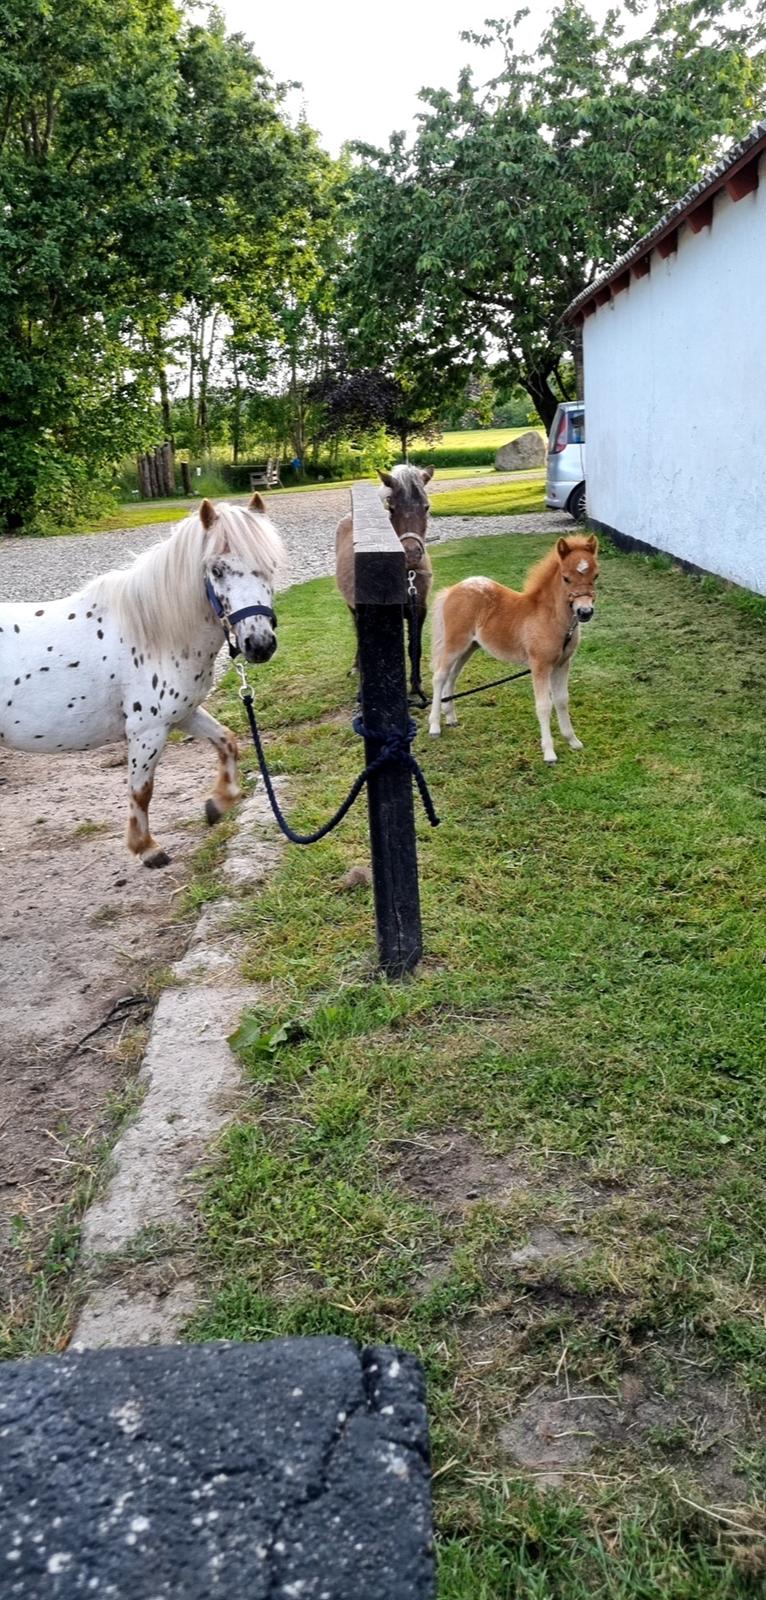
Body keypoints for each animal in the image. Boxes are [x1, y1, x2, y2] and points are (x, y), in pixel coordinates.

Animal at [0, 492, 284, 870]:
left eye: (271, 565)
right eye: (217, 570)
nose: (260, 644)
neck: (153, 634)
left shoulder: (183, 714)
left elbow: (227, 741)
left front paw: (218, 803)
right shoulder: (147, 730)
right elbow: (142, 790)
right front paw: (147, 847)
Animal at [334, 464, 434, 700]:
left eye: (426, 507)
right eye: (392, 508)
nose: (411, 554)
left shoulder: (419, 610)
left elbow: (415, 647)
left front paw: (416, 687)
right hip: (353, 608)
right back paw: (356, 666)